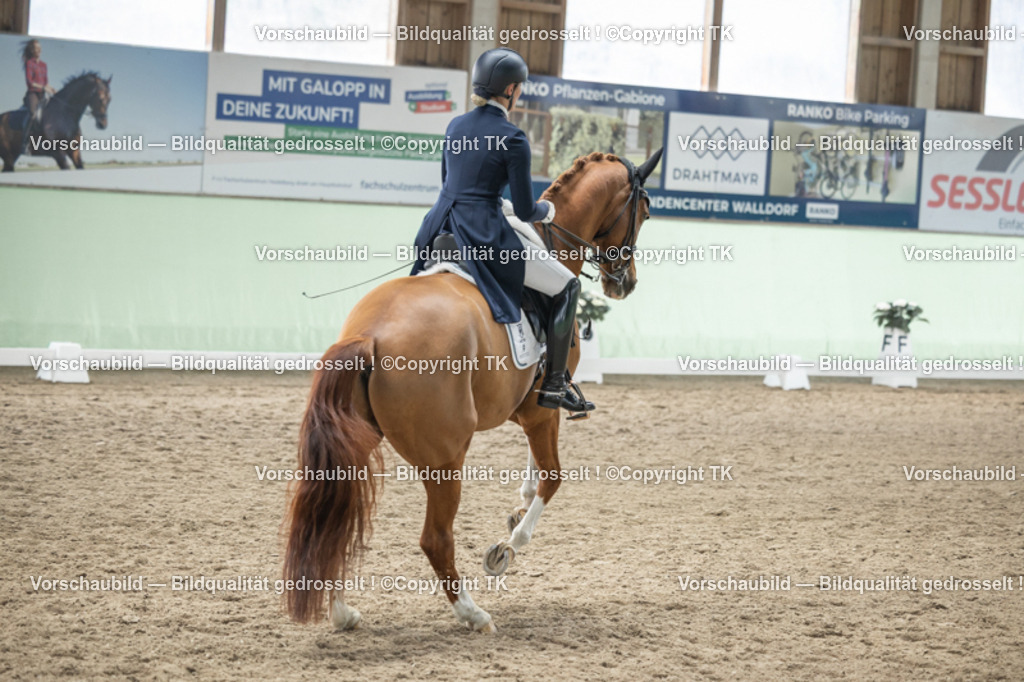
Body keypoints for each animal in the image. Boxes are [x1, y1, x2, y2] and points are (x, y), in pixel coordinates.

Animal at [283, 148, 663, 633]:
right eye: (645, 213)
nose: (624, 283)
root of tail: (369, 335)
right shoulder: (543, 408)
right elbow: (553, 476)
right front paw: (508, 547)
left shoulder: (530, 410)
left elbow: (536, 473)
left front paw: (518, 506)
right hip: (446, 457)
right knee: (435, 538)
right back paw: (473, 612)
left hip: (358, 440)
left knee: (335, 517)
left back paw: (343, 611)